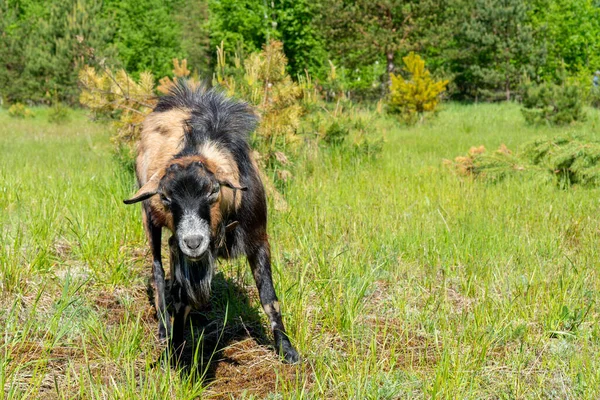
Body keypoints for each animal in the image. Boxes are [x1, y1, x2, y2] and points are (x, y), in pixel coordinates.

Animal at [122, 81, 300, 362]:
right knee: (158, 269)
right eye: (165, 197)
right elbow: (183, 296)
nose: (193, 241)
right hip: (149, 219)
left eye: (213, 190)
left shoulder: (258, 237)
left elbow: (269, 298)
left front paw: (287, 350)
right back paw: (164, 328)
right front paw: (176, 352)